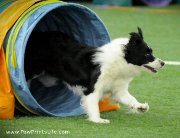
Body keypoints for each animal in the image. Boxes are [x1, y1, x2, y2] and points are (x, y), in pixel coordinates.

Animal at [25, 27, 165, 123]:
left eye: (151, 52)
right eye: (147, 54)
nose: (163, 63)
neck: (120, 60)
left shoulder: (118, 90)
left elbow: (130, 98)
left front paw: (141, 107)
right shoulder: (93, 88)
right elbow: (93, 104)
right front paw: (97, 120)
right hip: (33, 70)